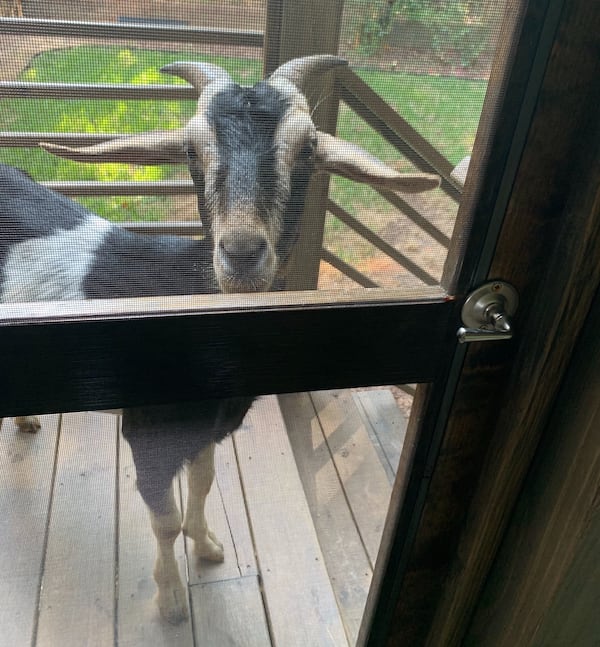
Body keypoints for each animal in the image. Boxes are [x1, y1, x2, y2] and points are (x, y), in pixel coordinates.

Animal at [0, 55, 440, 624]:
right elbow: (163, 518)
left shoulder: (210, 429)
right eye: (191, 151)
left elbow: (204, 482)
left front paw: (207, 545)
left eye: (307, 150)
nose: (243, 254)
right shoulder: (147, 434)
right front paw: (170, 600)